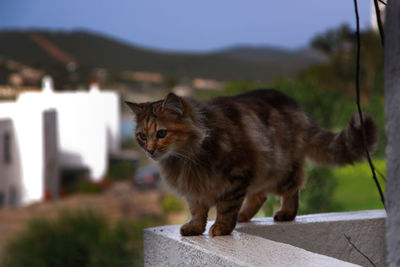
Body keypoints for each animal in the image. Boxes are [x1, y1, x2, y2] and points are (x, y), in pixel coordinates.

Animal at [126, 89, 378, 237]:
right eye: (142, 136)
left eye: (161, 133)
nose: (150, 150)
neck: (184, 158)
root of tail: (296, 107)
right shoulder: (194, 187)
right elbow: (197, 210)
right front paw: (195, 228)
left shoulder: (235, 176)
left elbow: (226, 208)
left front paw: (222, 228)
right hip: (262, 172)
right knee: (260, 196)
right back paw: (245, 215)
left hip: (280, 171)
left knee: (292, 190)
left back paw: (285, 213)